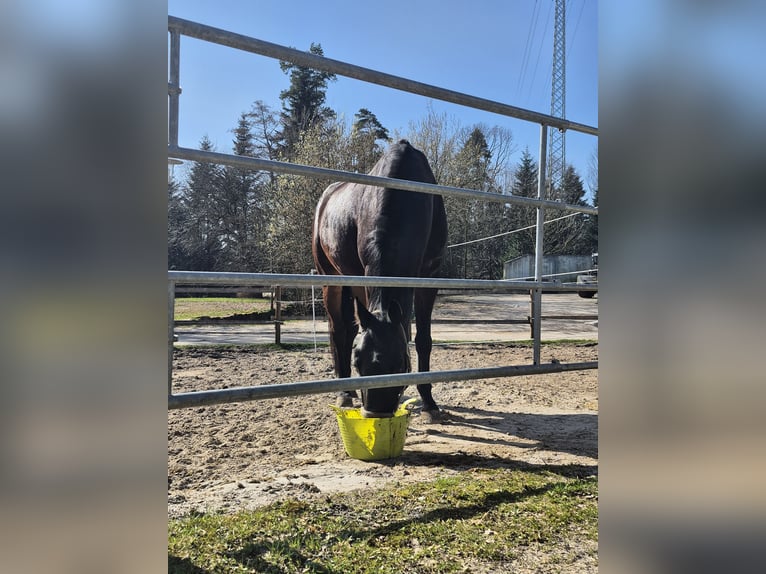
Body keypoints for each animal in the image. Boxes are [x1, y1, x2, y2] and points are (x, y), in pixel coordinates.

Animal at [312, 140, 448, 422]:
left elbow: (423, 339)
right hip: (331, 279)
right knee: (338, 330)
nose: (376, 412)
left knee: (348, 330)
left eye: (401, 362)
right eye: (358, 362)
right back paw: (344, 393)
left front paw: (429, 402)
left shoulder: (429, 278)